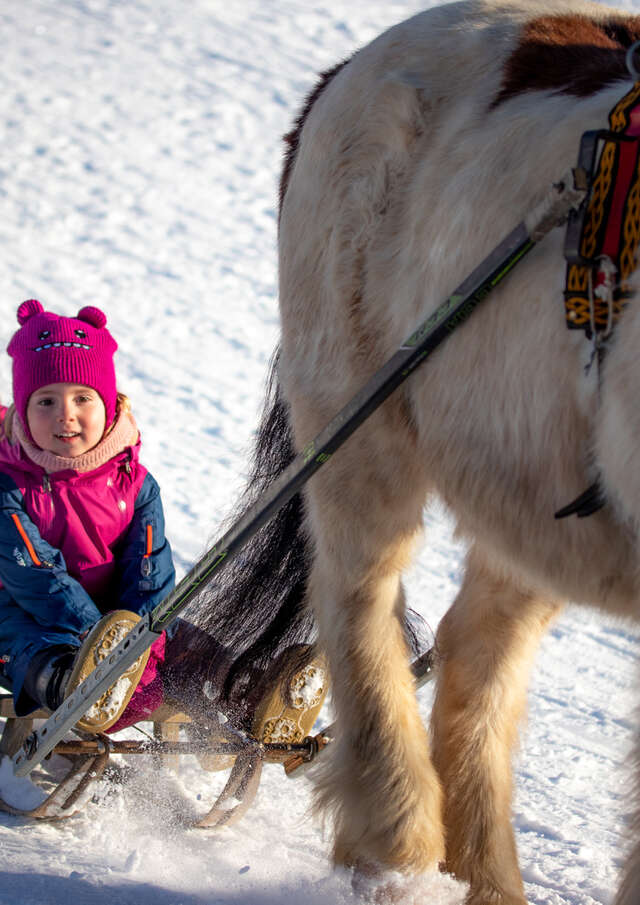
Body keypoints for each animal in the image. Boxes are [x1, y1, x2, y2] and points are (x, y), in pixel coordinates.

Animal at [192, 0, 640, 900]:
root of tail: (343, 71)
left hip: (529, 500)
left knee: (474, 651)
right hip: (358, 427)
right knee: (358, 602)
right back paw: (393, 842)